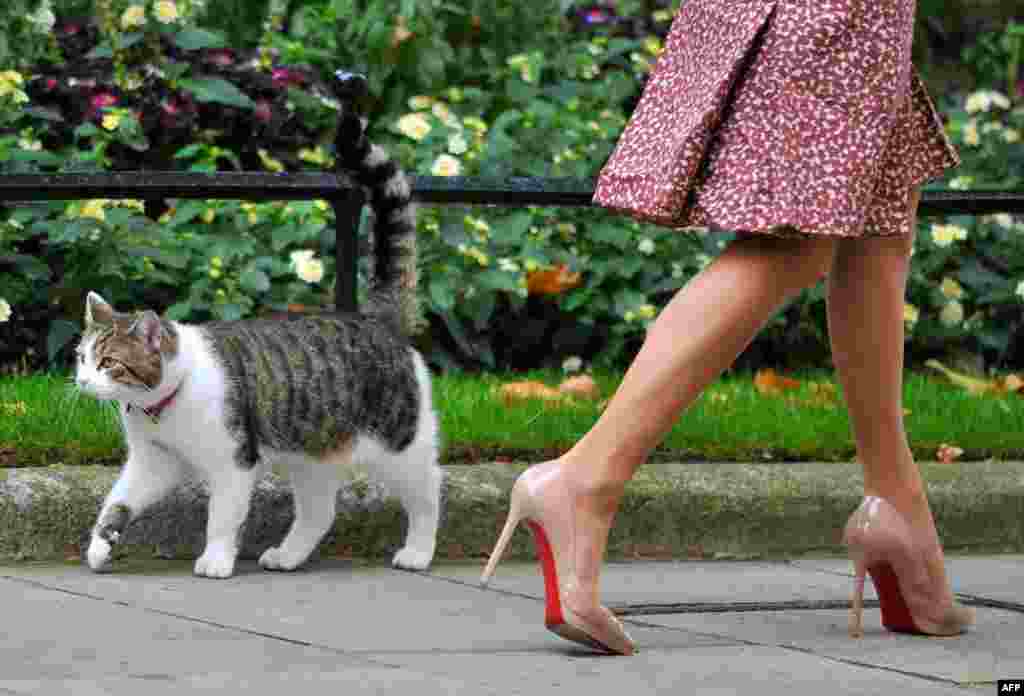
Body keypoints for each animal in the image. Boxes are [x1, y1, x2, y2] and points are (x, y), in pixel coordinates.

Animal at [72, 99, 440, 577]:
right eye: (81, 357)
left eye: (109, 363)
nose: (81, 381)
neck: (165, 404)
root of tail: (379, 320)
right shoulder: (154, 462)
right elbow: (116, 502)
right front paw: (102, 543)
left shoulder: (233, 463)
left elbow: (222, 518)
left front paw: (215, 559)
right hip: (312, 454)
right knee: (320, 511)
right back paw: (288, 555)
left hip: (400, 445)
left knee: (428, 493)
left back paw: (419, 551)